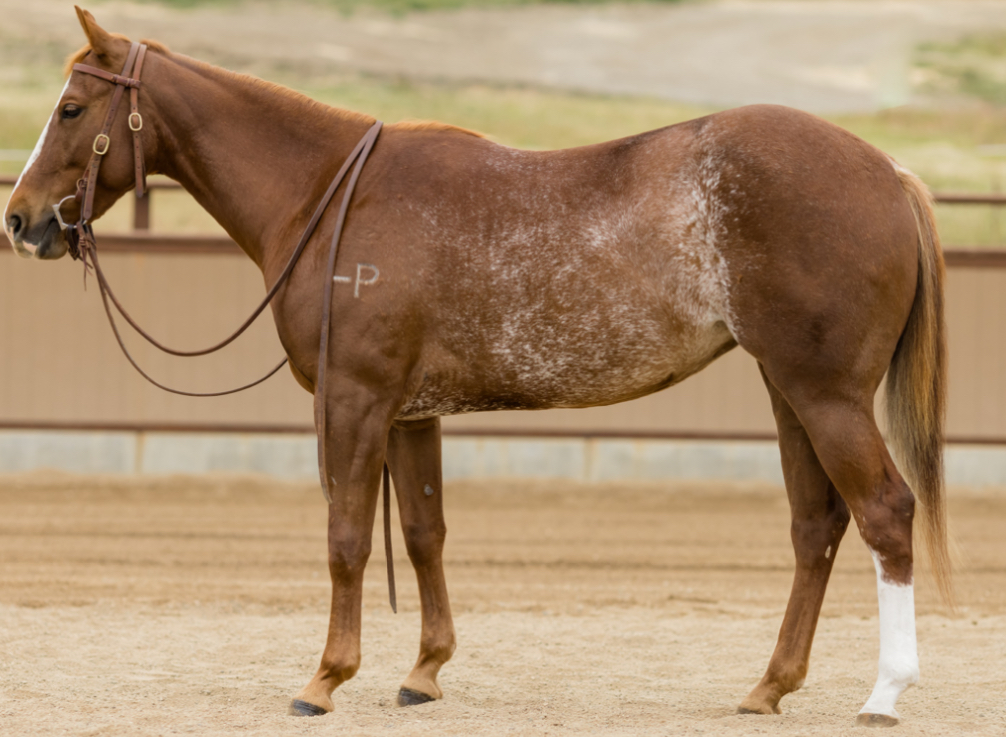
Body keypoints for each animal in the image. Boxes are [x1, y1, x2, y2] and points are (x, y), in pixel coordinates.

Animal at [5, 5, 949, 727]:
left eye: (70, 108)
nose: (20, 219)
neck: (328, 194)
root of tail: (887, 170)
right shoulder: (410, 412)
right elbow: (424, 533)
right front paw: (424, 671)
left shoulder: (352, 401)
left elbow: (347, 538)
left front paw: (324, 678)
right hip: (787, 389)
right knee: (815, 525)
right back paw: (769, 686)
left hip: (826, 395)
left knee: (885, 513)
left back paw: (884, 693)